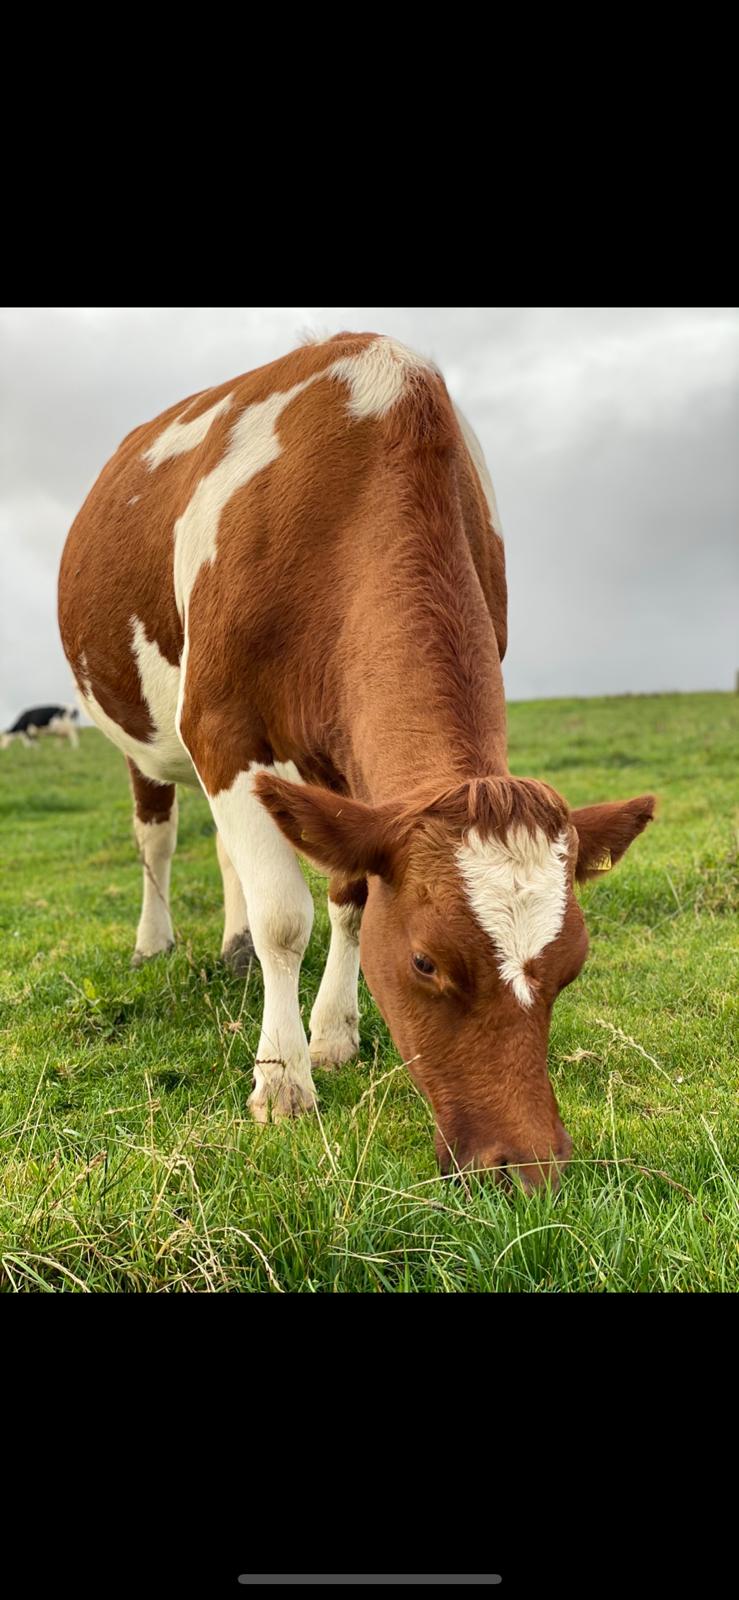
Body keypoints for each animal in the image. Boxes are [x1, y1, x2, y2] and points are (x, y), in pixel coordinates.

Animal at [58, 333, 655, 1189]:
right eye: (425, 962)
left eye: (571, 965)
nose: (525, 1167)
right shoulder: (220, 728)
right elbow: (285, 917)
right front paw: (282, 1080)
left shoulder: (342, 773)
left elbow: (347, 897)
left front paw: (333, 1035)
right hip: (143, 730)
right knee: (158, 839)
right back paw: (153, 944)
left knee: (227, 849)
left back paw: (233, 952)